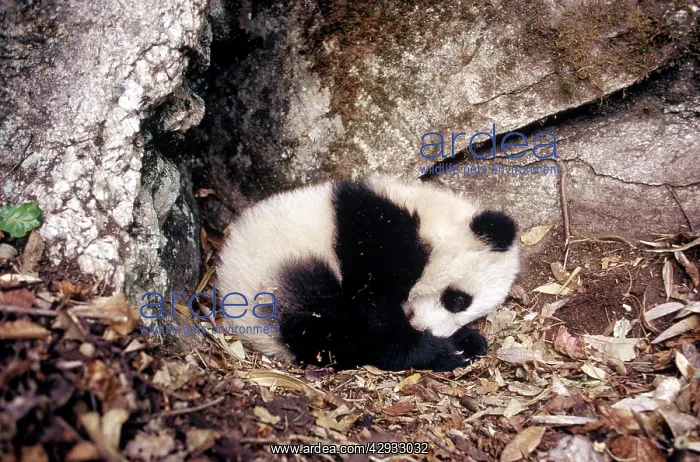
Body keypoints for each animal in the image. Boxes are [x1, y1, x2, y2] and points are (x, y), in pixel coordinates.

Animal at [216, 176, 519, 372]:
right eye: (458, 300)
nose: (430, 331)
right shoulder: (373, 239)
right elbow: (372, 314)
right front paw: (443, 350)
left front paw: (466, 340)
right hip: (276, 277)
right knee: (320, 322)